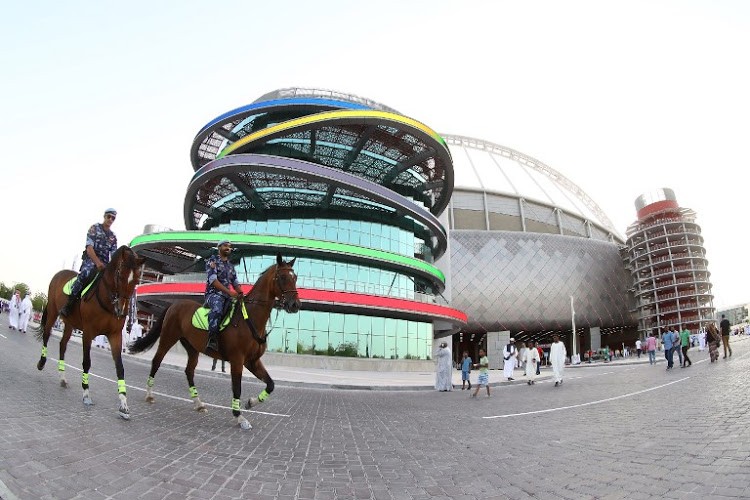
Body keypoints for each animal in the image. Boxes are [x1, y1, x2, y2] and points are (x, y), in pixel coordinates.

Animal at [35, 245, 147, 418]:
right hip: (53, 312)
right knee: (47, 335)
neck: (107, 300)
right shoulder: (88, 332)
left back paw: (62, 377)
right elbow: (86, 362)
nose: (121, 311)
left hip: (69, 323)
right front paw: (86, 393)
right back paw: (41, 362)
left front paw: (124, 404)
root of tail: (60, 273)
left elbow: (120, 367)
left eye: (136, 281)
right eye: (119, 275)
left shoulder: (115, 336)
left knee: (62, 345)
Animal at [131, 254, 302, 430]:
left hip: (192, 347)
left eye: (295, 277)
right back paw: (149, 395)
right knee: (156, 361)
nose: (295, 304)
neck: (249, 319)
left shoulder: (253, 361)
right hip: (168, 338)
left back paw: (198, 403)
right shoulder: (237, 360)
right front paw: (239, 416)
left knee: (189, 371)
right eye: (282, 277)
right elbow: (237, 388)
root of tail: (174, 304)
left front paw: (250, 402)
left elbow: (271, 385)